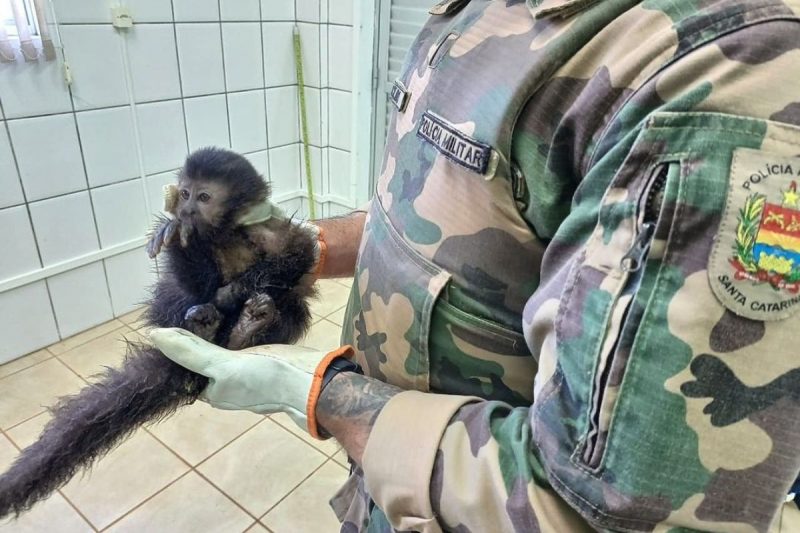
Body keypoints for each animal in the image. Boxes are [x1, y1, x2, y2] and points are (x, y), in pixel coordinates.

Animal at [0, 147, 319, 519]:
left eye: (203, 197)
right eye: (185, 193)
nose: (186, 210)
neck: (224, 234)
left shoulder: (268, 229)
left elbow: (298, 255)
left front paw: (235, 291)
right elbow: (196, 285)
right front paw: (178, 239)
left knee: (291, 304)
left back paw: (243, 330)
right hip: (172, 315)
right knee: (178, 297)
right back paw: (207, 327)